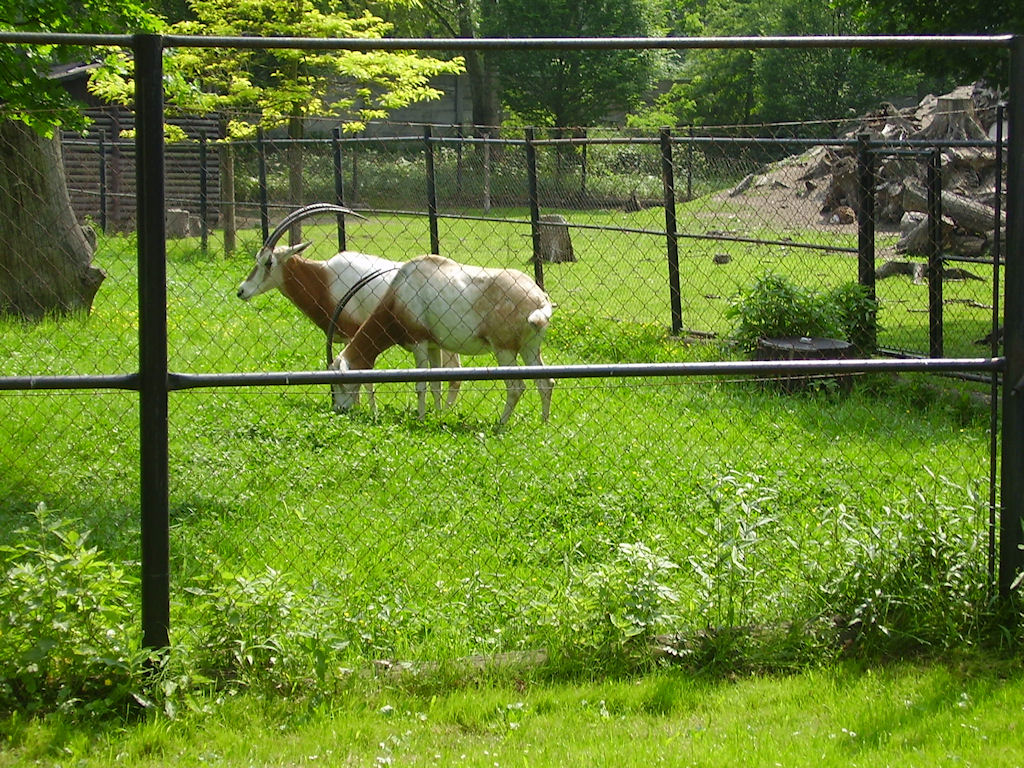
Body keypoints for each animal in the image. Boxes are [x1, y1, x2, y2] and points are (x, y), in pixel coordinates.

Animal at [237, 203, 459, 412]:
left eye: (268, 262)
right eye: (257, 259)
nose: (241, 290)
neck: (326, 280)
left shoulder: (356, 333)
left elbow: (364, 377)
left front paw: (368, 410)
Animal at [331, 253, 554, 424]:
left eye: (338, 383)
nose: (338, 409)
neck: (401, 291)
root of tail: (540, 299)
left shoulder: (419, 343)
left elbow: (421, 385)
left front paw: (421, 419)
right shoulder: (433, 346)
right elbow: (435, 383)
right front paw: (438, 416)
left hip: (504, 350)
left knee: (516, 387)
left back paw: (500, 425)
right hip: (529, 348)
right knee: (546, 382)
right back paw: (543, 424)